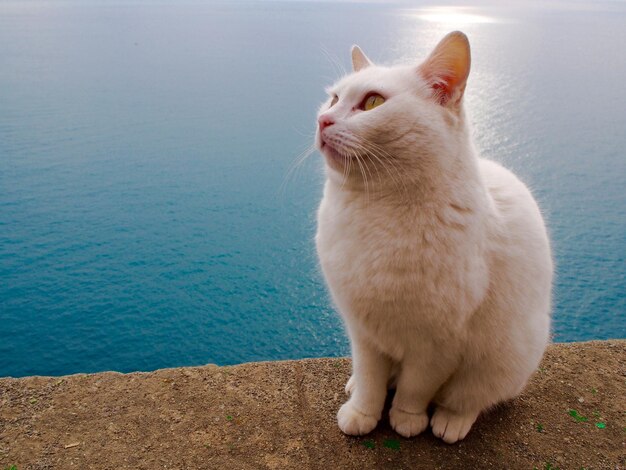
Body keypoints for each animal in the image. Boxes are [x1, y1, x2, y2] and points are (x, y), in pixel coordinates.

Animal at [314, 31, 548, 442]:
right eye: (333, 99)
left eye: (373, 102)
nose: (323, 120)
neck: (374, 211)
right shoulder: (363, 331)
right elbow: (372, 379)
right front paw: (362, 411)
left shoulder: (440, 344)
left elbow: (416, 388)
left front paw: (407, 419)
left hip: (502, 359)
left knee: (468, 397)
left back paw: (450, 420)